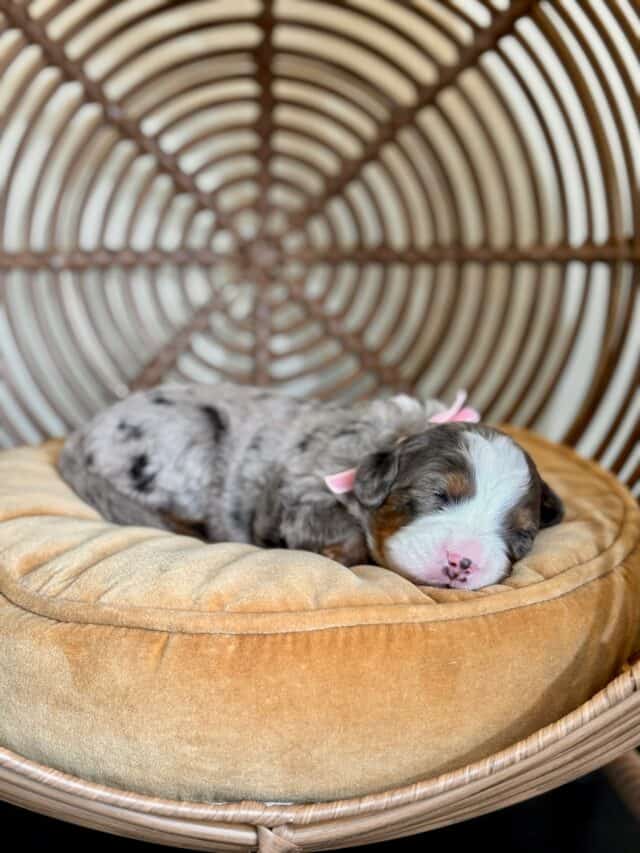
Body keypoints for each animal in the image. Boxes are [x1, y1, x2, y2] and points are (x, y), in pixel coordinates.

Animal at [57, 382, 564, 588]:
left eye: (521, 537)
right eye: (435, 495)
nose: (462, 563)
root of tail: (80, 435)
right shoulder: (299, 493)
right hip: (187, 434)